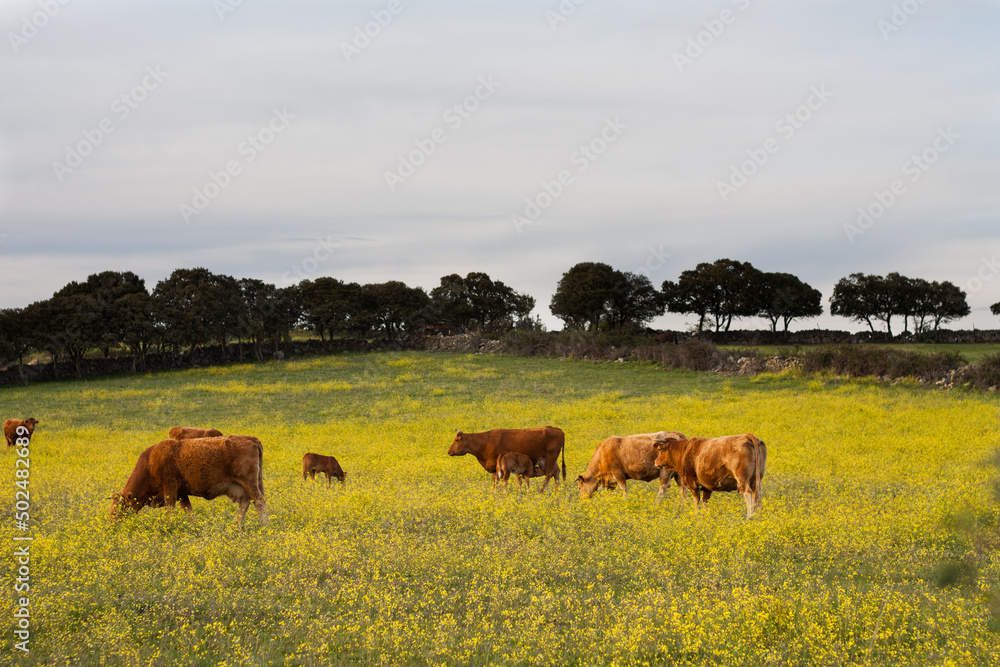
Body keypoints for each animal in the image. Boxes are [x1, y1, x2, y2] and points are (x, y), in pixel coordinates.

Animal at [111, 436, 268, 524]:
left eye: (120, 508)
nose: (111, 524)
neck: (150, 462)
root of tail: (251, 439)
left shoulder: (170, 489)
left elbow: (169, 509)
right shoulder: (182, 494)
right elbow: (189, 511)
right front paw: (195, 528)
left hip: (249, 484)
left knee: (258, 501)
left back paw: (264, 526)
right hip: (246, 486)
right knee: (246, 503)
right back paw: (236, 527)